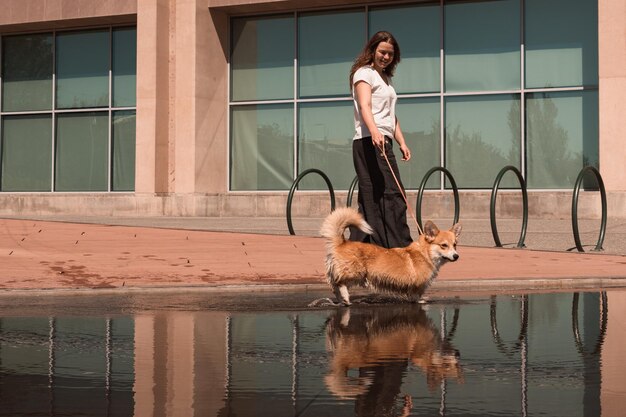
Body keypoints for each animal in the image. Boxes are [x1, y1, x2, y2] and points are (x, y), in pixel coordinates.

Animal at [316, 206, 458, 304]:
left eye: (455, 245)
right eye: (444, 245)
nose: (456, 256)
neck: (426, 253)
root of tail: (341, 242)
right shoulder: (417, 284)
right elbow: (416, 295)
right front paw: (420, 301)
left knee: (333, 286)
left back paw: (341, 300)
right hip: (355, 272)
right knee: (339, 283)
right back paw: (345, 297)